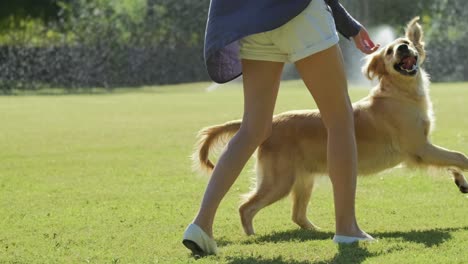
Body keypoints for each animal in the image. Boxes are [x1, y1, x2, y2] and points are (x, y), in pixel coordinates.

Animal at [191, 17, 468, 236]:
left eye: (406, 43)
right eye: (389, 52)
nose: (402, 47)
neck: (400, 94)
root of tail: (272, 122)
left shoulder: (423, 149)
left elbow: (452, 161)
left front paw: (461, 181)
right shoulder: (420, 147)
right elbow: (460, 156)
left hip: (303, 179)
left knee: (297, 215)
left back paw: (319, 231)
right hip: (279, 181)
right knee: (246, 207)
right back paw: (250, 235)